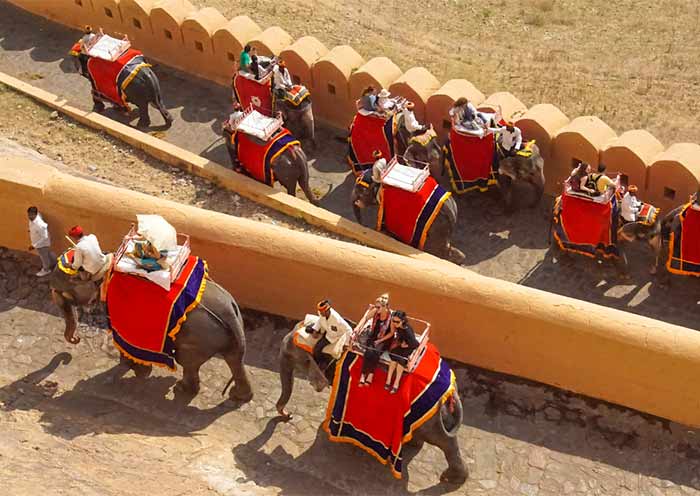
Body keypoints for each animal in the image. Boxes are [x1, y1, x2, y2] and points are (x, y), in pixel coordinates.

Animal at [49, 262, 253, 402]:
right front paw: (138, 370)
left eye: (63, 292)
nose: (76, 339)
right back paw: (238, 397)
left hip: (199, 337)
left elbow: (124, 337)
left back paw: (182, 389)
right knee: (234, 360)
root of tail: (231, 315)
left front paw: (136, 370)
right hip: (227, 335)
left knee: (187, 361)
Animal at [276, 326, 468, 484]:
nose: (288, 415)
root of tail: (452, 392)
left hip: (432, 419)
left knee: (444, 442)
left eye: (289, 356)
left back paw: (449, 478)